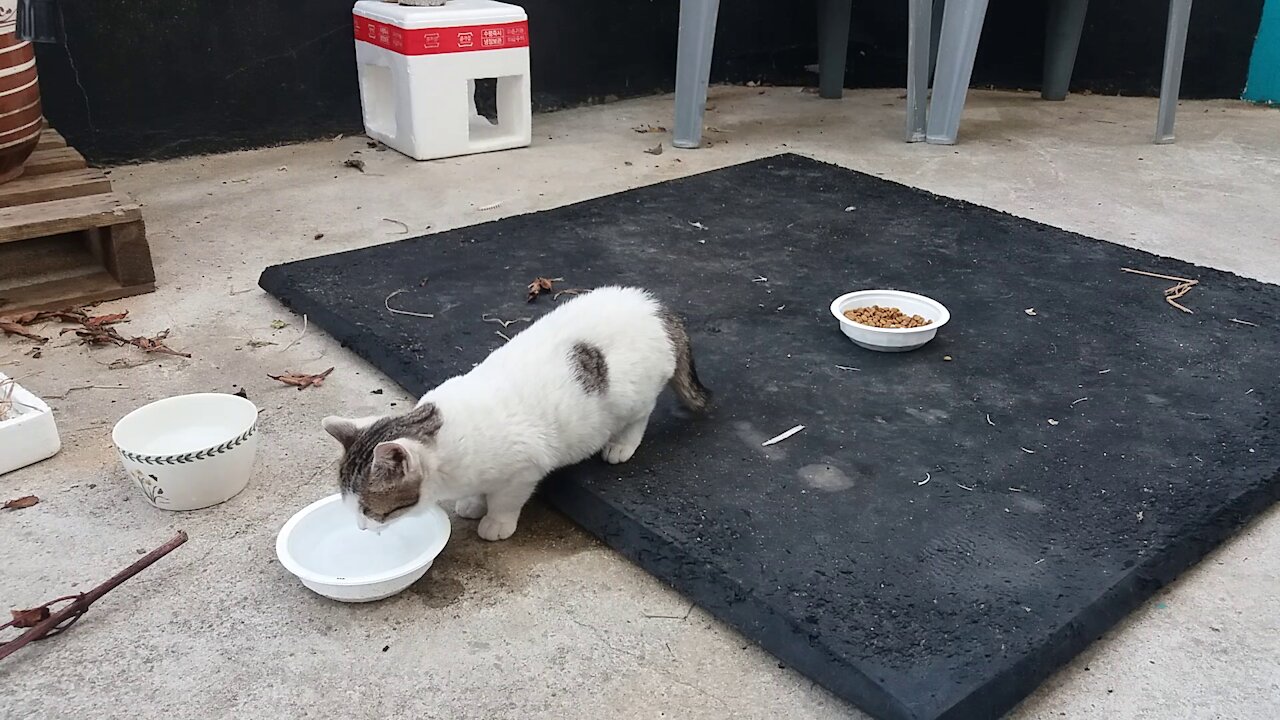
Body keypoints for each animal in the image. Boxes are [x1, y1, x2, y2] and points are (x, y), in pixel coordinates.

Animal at [320, 284, 711, 538]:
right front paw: (473, 502)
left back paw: (621, 445)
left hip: (632, 394)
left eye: (368, 509)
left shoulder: (524, 470)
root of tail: (652, 305)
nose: (360, 527)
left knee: (640, 414)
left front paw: (495, 522)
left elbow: (505, 500)